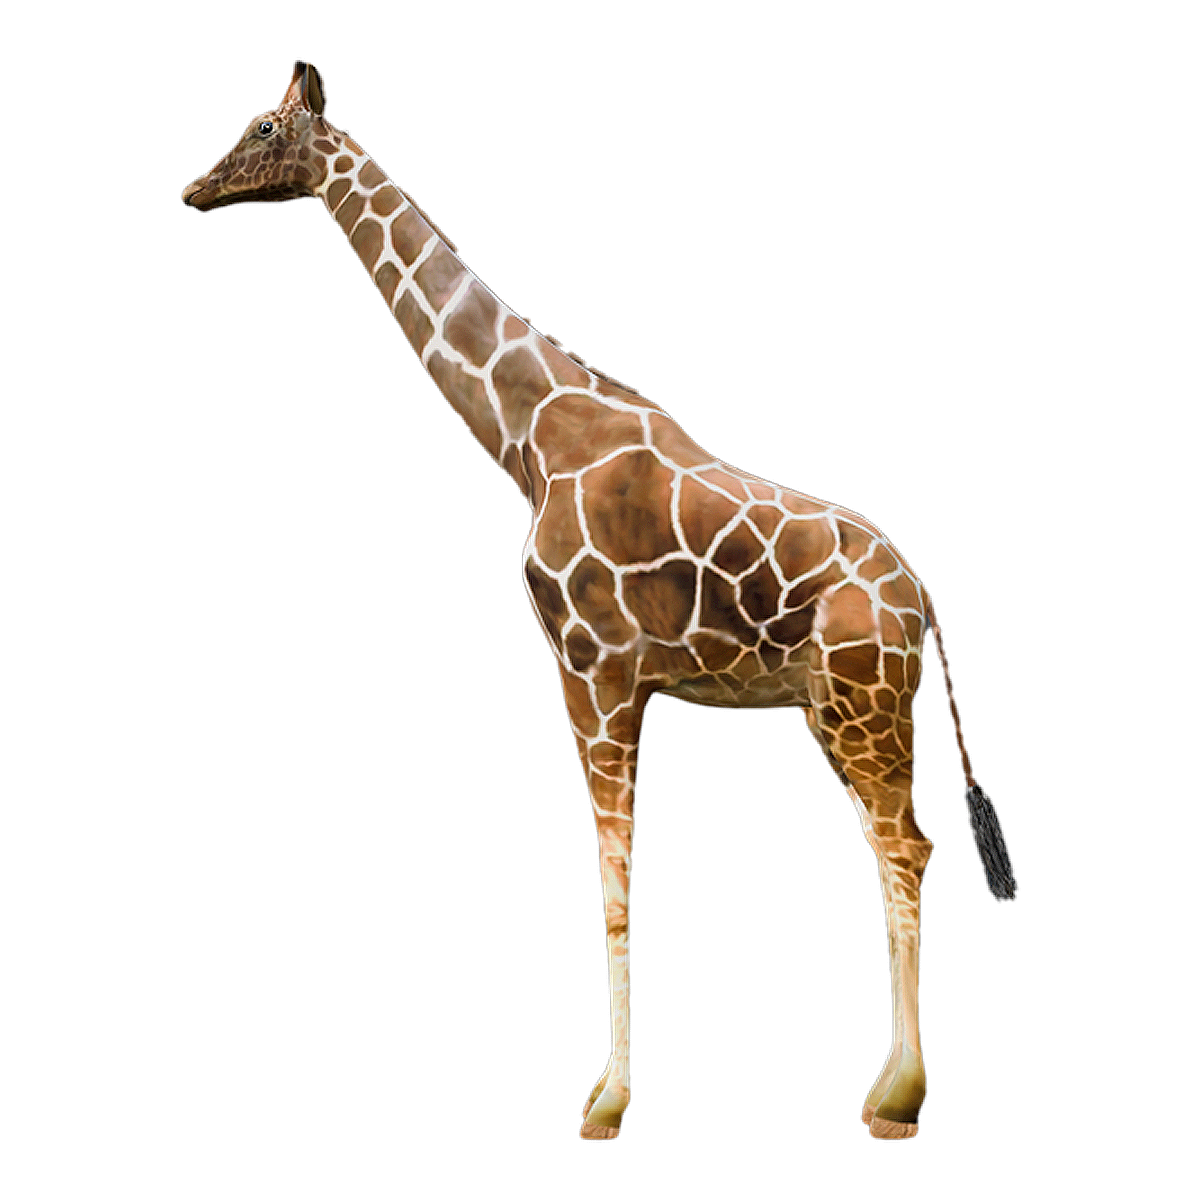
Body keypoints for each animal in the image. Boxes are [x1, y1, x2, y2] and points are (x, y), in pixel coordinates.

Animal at [183, 60, 1018, 1142]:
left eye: (262, 127)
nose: (193, 190)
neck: (532, 435)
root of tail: (925, 603)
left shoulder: (595, 669)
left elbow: (615, 884)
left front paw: (605, 1102)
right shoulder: (613, 681)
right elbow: (623, 879)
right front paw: (610, 1091)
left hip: (861, 706)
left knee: (903, 848)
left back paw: (897, 1098)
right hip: (849, 710)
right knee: (898, 848)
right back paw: (891, 1088)